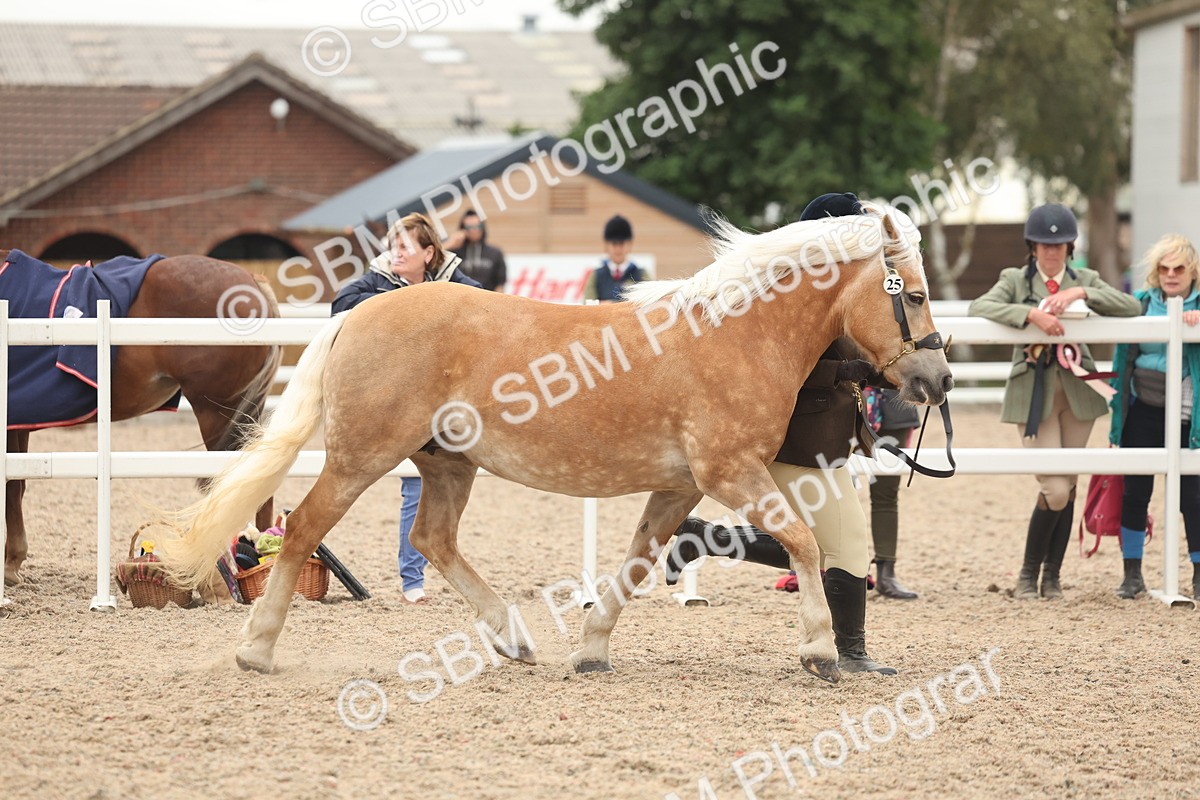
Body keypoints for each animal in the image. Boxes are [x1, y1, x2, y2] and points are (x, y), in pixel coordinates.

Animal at [1, 250, 282, 587]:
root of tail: (252, 281)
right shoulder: (20, 424)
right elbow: (17, 483)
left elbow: (10, 487)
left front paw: (9, 566)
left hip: (217, 413)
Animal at [159, 204, 953, 683]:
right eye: (911, 294)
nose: (938, 378)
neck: (732, 333)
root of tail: (362, 312)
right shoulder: (730, 473)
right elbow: (804, 544)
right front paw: (819, 650)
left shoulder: (680, 487)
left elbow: (637, 562)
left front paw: (592, 648)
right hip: (363, 458)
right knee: (302, 531)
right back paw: (256, 649)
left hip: (447, 465)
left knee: (432, 538)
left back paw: (512, 637)